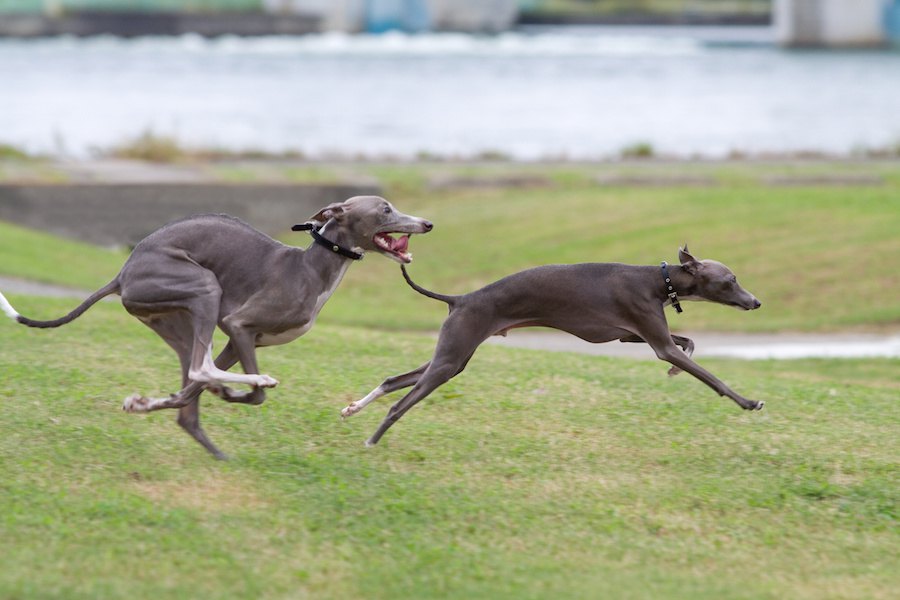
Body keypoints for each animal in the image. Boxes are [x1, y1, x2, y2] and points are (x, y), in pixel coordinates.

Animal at [0, 197, 432, 460]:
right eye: (386, 209)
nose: (427, 223)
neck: (311, 268)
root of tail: (122, 273)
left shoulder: (238, 340)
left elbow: (188, 396)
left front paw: (152, 402)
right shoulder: (239, 325)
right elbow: (254, 395)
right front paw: (241, 389)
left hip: (177, 320)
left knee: (190, 387)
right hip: (204, 288)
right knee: (199, 367)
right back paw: (239, 384)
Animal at [344, 246, 768, 448]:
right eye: (731, 279)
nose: (756, 303)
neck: (657, 280)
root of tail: (460, 298)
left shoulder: (633, 335)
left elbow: (689, 343)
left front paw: (676, 369)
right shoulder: (655, 338)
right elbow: (712, 377)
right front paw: (748, 402)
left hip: (452, 354)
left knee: (394, 380)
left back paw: (353, 409)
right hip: (452, 357)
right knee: (400, 404)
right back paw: (371, 441)